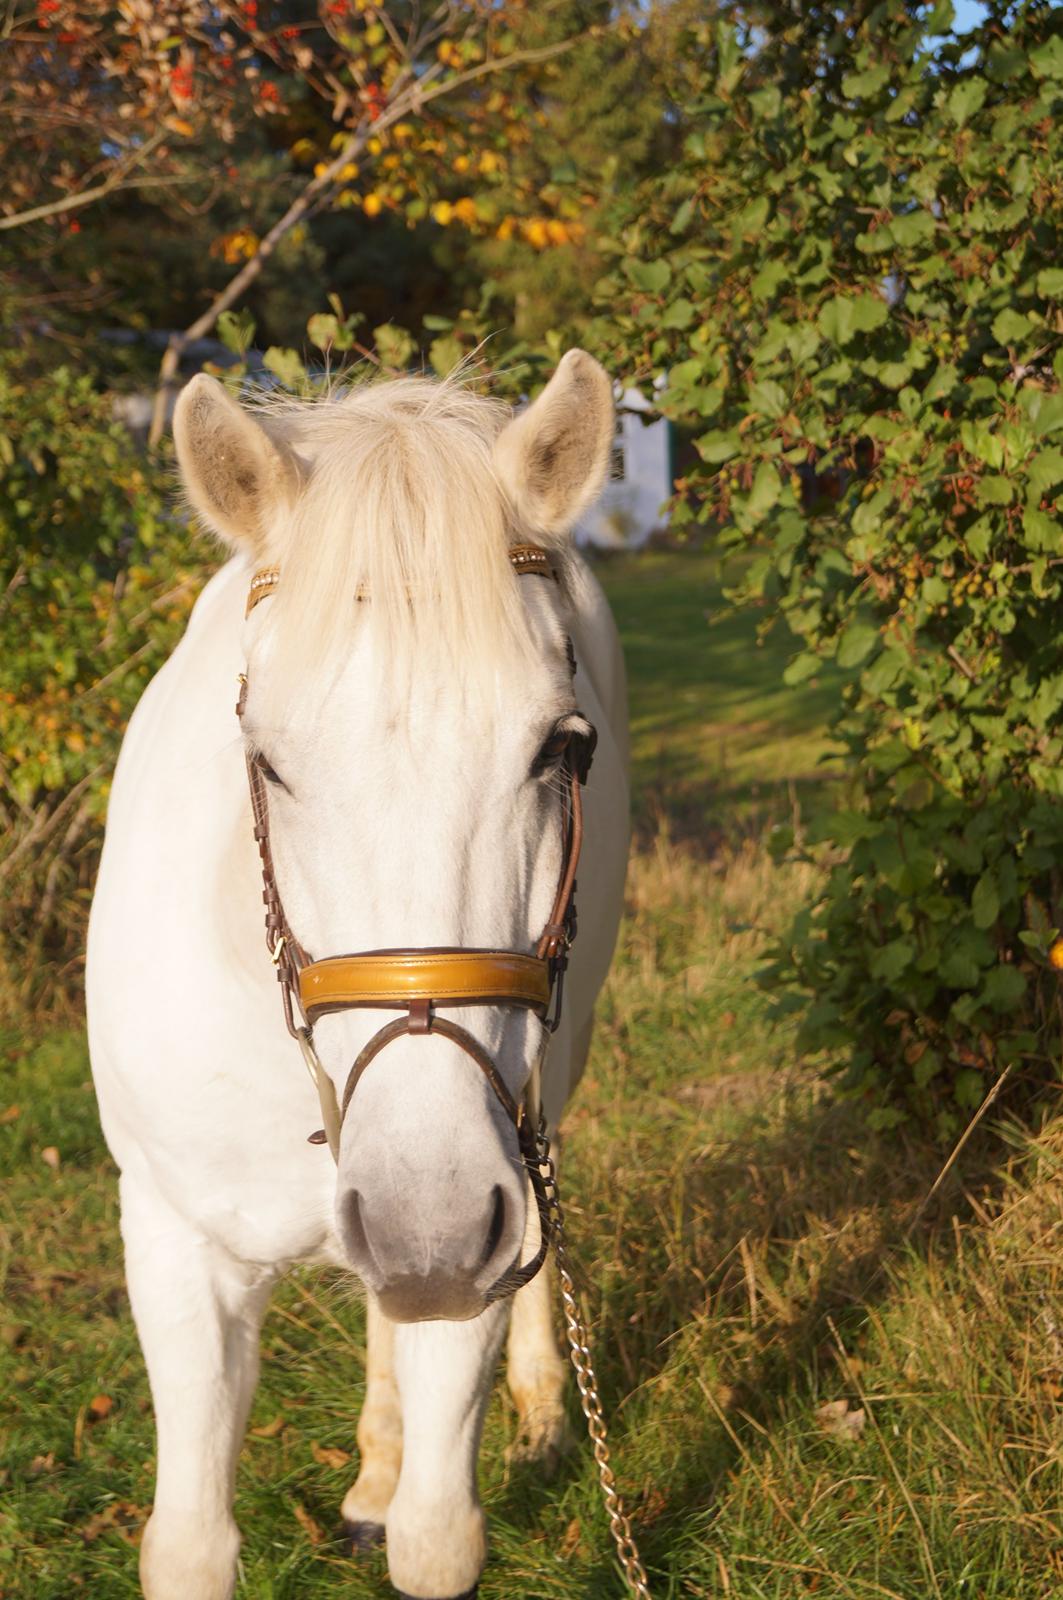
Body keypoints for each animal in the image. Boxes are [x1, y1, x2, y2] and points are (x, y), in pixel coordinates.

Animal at [87, 353, 630, 1600]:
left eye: (560, 749)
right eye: (267, 762)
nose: (429, 1221)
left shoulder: (478, 1224)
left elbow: (437, 1538)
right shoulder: (174, 1240)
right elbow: (187, 1545)